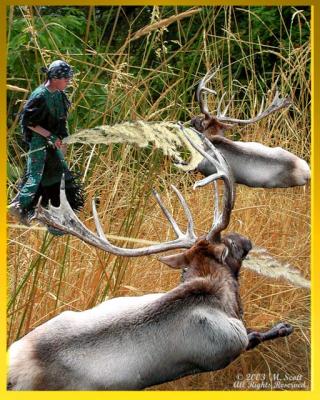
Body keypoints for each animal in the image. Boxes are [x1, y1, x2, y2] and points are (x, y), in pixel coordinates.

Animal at [6, 133, 292, 390]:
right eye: (230, 245)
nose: (246, 240)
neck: (218, 295)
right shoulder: (229, 345)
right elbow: (256, 335)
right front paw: (284, 327)